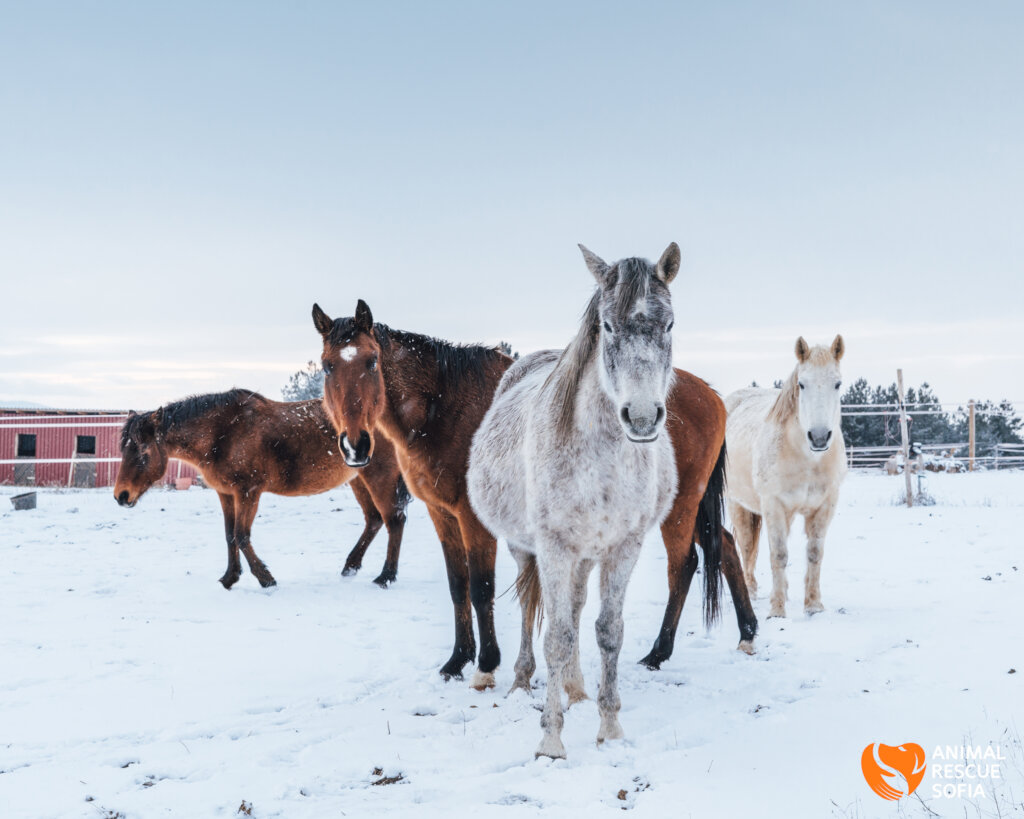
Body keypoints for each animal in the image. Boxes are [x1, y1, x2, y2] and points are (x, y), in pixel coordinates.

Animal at [114, 389, 411, 589]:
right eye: (124, 450)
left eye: (143, 452)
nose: (121, 496)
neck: (223, 433)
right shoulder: (226, 494)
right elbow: (229, 536)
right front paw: (229, 578)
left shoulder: (248, 492)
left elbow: (242, 536)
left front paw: (265, 578)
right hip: (358, 479)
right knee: (374, 520)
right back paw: (350, 567)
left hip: (378, 475)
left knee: (394, 520)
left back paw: (386, 577)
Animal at [313, 302, 514, 686]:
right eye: (327, 365)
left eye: (372, 361)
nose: (356, 445)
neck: (447, 411)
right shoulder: (443, 513)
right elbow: (458, 586)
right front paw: (458, 660)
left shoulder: (474, 517)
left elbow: (481, 589)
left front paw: (486, 665)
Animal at [467, 243, 690, 758]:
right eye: (606, 325)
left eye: (670, 324)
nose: (642, 417)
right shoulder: (552, 547)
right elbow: (556, 635)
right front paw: (551, 738)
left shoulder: (623, 547)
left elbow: (607, 631)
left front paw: (609, 726)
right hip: (527, 549)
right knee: (533, 609)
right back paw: (524, 682)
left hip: (586, 556)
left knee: (575, 605)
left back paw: (576, 689)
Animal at [725, 336, 848, 617]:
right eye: (802, 384)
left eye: (837, 383)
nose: (819, 437)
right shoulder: (774, 506)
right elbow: (778, 555)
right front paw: (777, 610)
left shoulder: (824, 506)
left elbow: (814, 553)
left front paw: (813, 606)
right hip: (737, 504)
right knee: (746, 547)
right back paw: (750, 591)